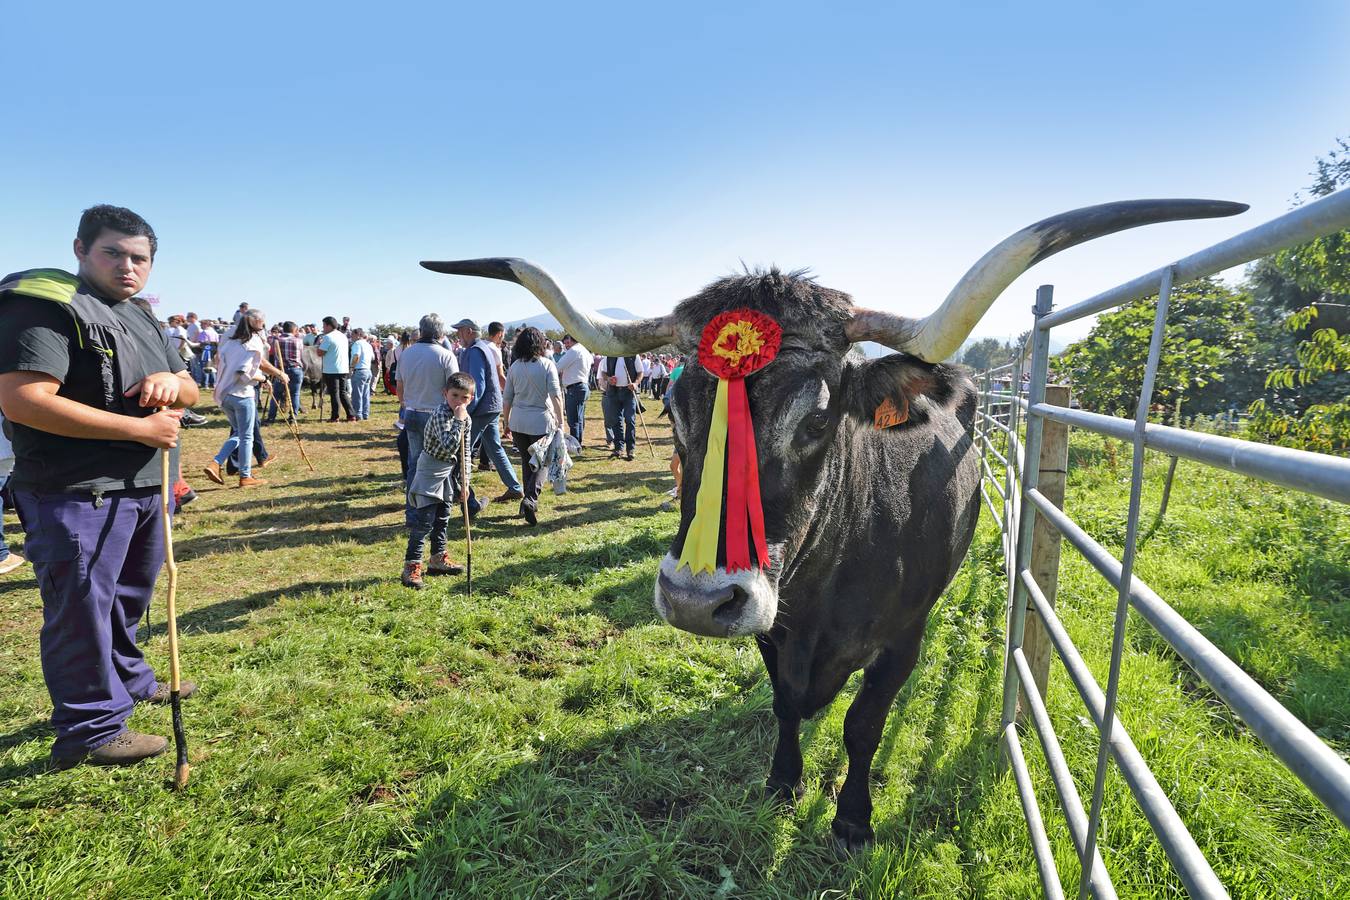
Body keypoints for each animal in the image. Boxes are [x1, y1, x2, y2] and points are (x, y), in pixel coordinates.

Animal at [418, 197, 1242, 852]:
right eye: (678, 406)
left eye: (816, 419)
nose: (696, 601)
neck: (820, 592)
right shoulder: (774, 628)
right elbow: (786, 704)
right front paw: (784, 781)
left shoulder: (903, 637)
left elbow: (863, 727)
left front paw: (851, 817)